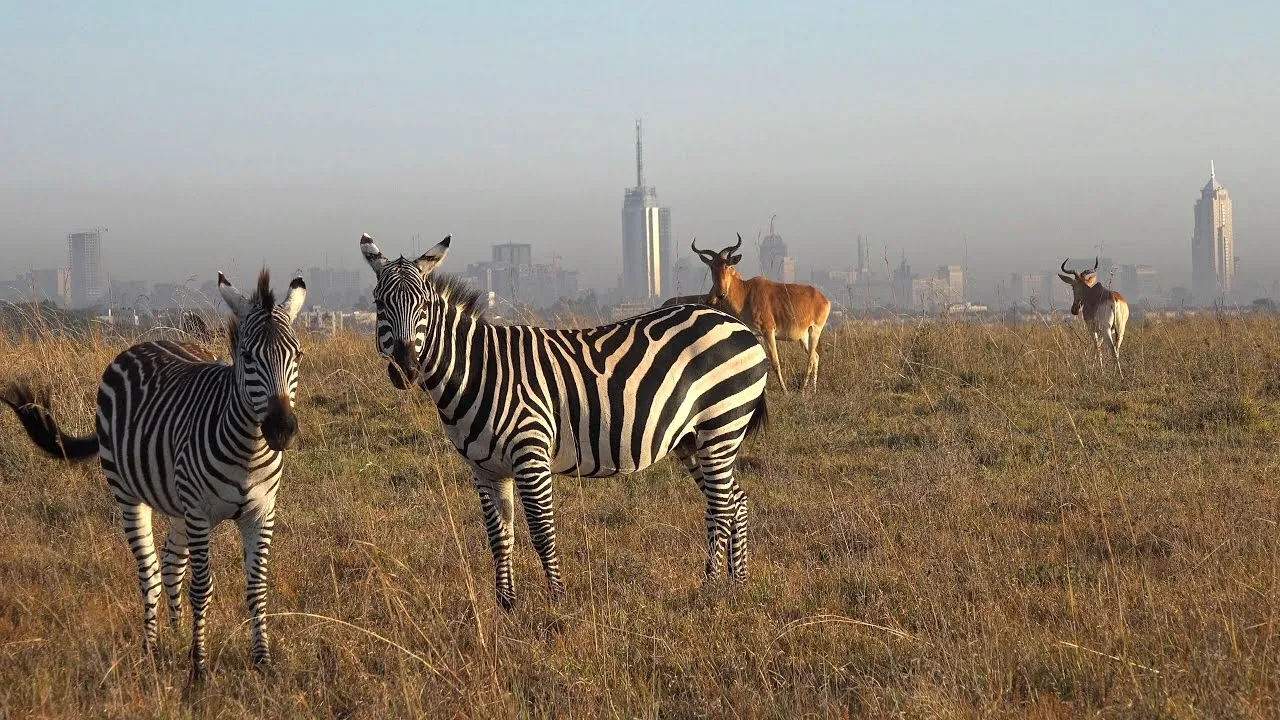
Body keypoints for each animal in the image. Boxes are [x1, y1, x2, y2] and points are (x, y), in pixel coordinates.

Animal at [0, 269, 307, 676]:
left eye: (297, 355)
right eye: (247, 356)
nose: (282, 429)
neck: (249, 449)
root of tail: (146, 342)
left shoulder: (261, 511)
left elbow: (257, 587)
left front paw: (262, 663)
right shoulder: (199, 511)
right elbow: (202, 588)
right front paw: (199, 668)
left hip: (178, 505)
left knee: (172, 564)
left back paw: (175, 637)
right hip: (131, 496)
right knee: (150, 574)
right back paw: (154, 649)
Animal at [360, 234, 768, 604]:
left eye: (424, 305)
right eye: (379, 304)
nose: (405, 369)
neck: (480, 370)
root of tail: (734, 323)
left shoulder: (530, 454)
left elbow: (542, 532)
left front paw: (558, 600)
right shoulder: (485, 468)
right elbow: (499, 536)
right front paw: (506, 606)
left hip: (721, 423)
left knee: (721, 507)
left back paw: (709, 588)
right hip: (692, 438)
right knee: (736, 501)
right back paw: (737, 585)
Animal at [696, 234, 834, 392]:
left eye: (727, 266)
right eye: (712, 266)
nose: (718, 295)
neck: (747, 292)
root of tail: (824, 299)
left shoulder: (769, 331)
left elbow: (774, 362)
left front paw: (785, 391)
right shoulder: (757, 333)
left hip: (815, 330)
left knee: (811, 359)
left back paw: (803, 390)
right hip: (803, 336)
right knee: (816, 357)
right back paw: (813, 390)